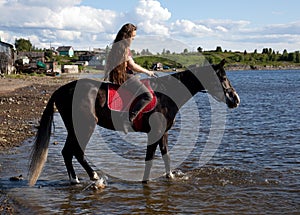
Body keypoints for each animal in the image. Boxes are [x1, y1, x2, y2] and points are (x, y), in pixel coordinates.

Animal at [27, 59, 239, 186]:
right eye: (222, 77)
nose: (235, 99)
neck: (167, 94)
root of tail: (62, 89)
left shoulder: (163, 133)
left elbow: (166, 155)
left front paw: (170, 177)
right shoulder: (154, 133)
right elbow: (150, 158)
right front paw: (145, 181)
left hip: (76, 127)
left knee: (68, 152)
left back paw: (76, 180)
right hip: (84, 126)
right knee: (75, 152)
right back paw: (93, 177)